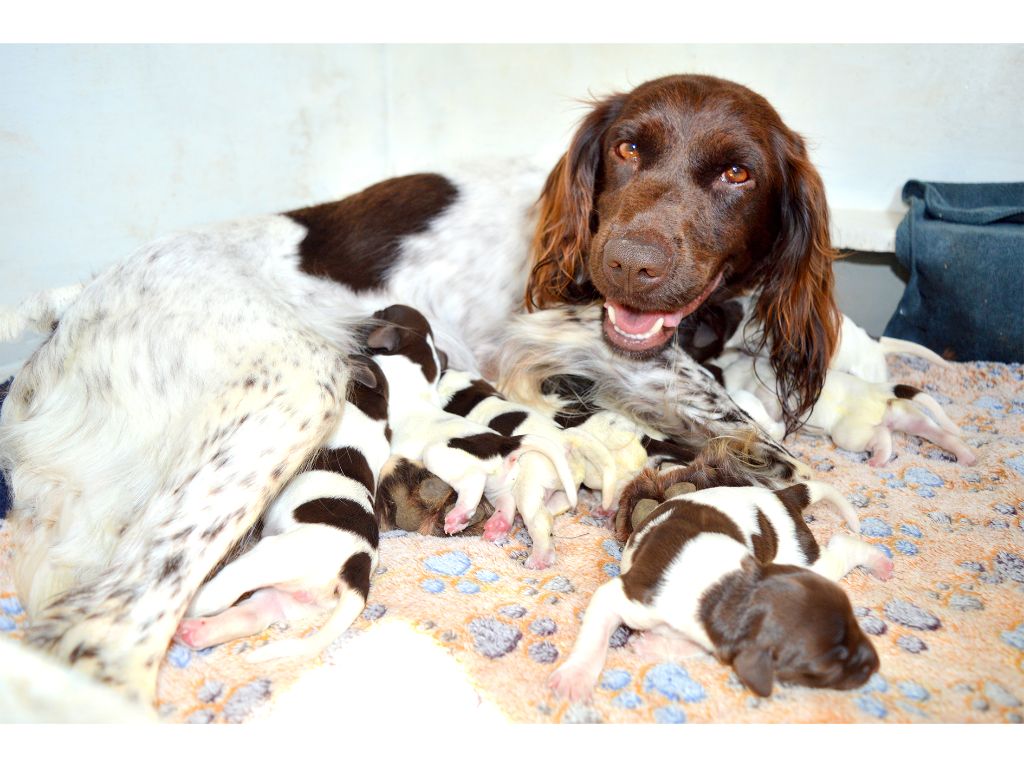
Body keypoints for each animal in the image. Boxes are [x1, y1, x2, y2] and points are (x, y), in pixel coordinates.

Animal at [174, 352, 389, 659]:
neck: (374, 411)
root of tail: (355, 570)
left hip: (269, 559)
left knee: (219, 595)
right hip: (286, 598)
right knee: (249, 615)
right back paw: (194, 632)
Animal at [366, 305, 577, 536]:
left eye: (382, 313)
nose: (370, 314)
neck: (419, 353)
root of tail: (503, 443)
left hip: (439, 456)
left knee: (472, 483)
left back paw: (458, 516)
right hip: (498, 484)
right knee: (506, 501)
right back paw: (497, 524)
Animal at [434, 370, 614, 569]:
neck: (471, 395)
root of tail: (567, 440)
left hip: (528, 486)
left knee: (540, 520)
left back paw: (540, 557)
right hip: (566, 487)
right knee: (555, 507)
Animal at [548, 466, 892, 700]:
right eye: (825, 668)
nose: (876, 664)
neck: (728, 589)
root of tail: (780, 495)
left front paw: (656, 644)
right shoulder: (625, 596)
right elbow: (594, 640)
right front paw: (576, 676)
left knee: (843, 546)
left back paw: (878, 560)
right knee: (841, 547)